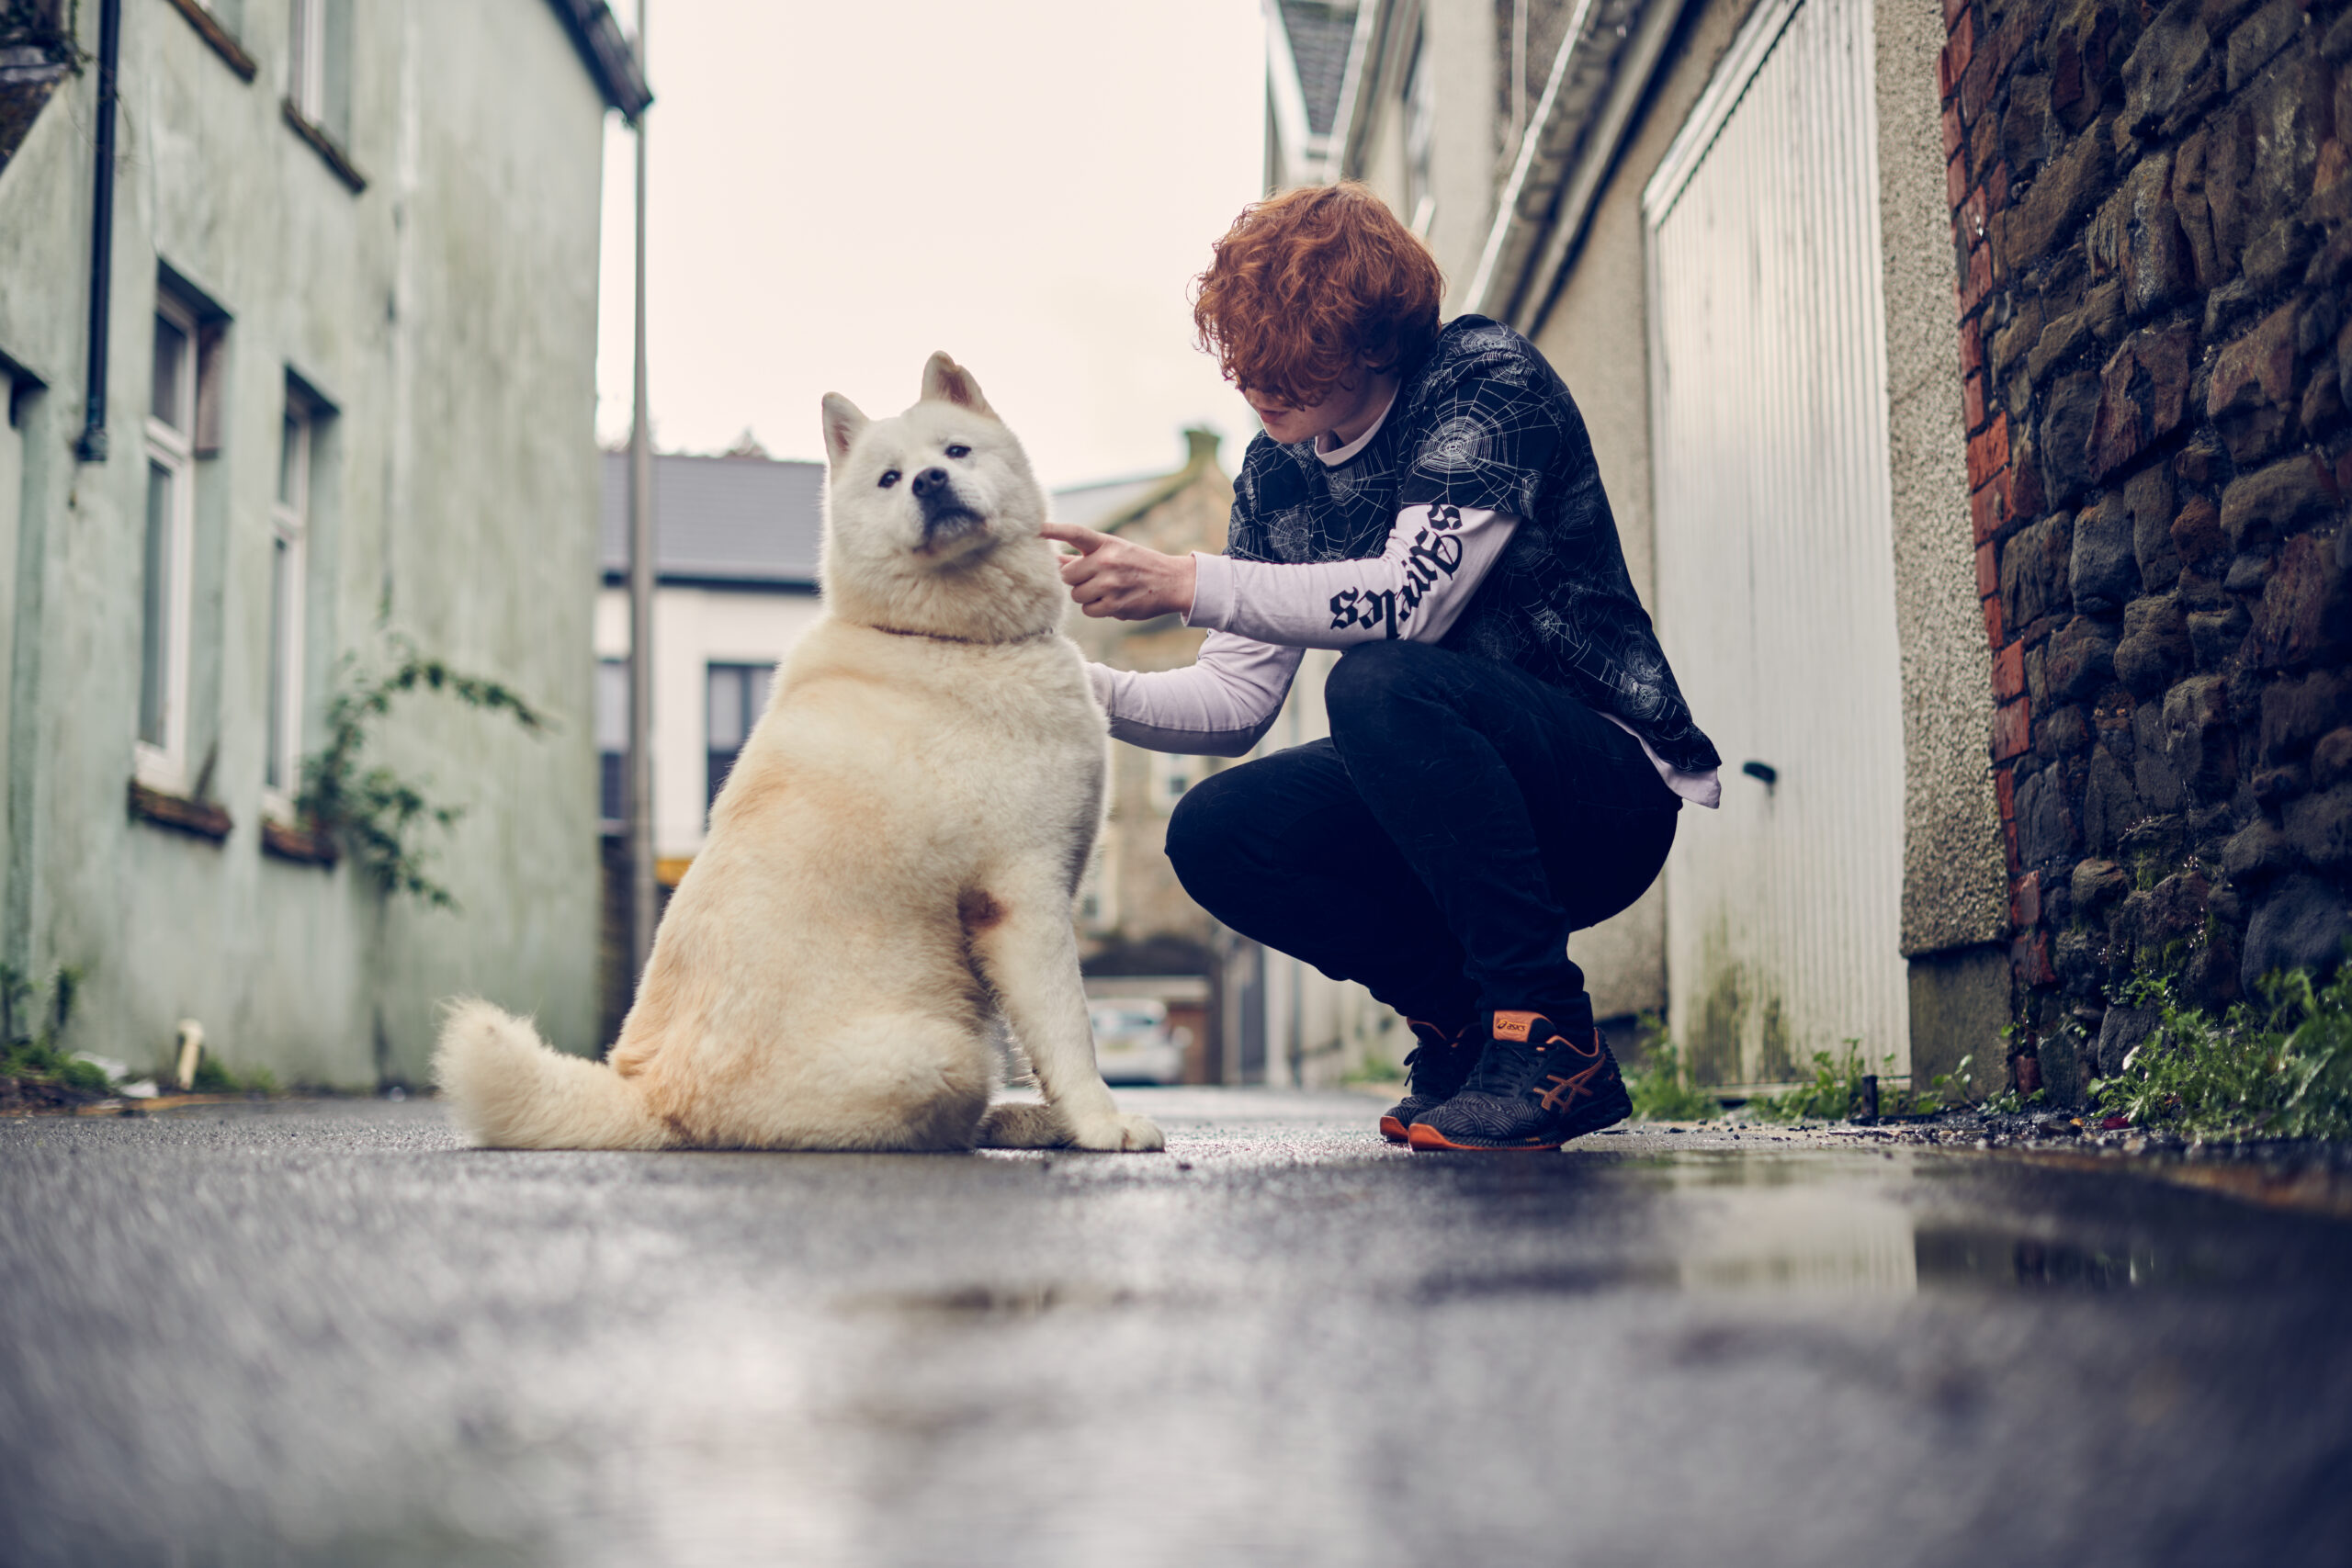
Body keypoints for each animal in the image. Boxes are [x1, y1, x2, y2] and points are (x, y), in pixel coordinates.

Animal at [435, 362, 1166, 1161]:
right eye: (889, 478)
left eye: (956, 450)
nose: (930, 482)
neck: (945, 639)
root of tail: (653, 1098)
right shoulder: (1023, 897)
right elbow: (1069, 1032)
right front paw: (1100, 1123)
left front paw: (1074, 1120)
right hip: (943, 1049)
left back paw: (1021, 1120)